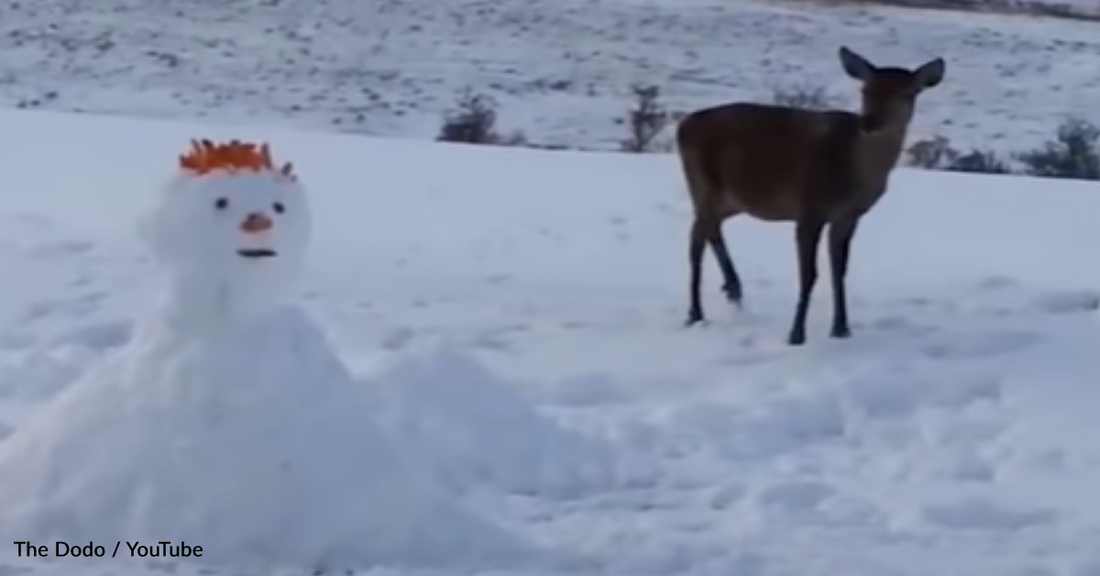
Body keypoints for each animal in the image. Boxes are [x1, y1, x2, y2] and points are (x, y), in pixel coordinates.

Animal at [676, 46, 945, 346]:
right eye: (865, 90)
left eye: (906, 93)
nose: (869, 122)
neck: (854, 173)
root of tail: (682, 126)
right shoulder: (809, 209)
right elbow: (809, 274)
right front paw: (796, 334)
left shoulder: (848, 216)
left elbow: (839, 270)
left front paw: (841, 329)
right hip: (702, 182)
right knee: (696, 239)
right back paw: (696, 313)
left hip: (732, 198)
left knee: (709, 229)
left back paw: (732, 290)